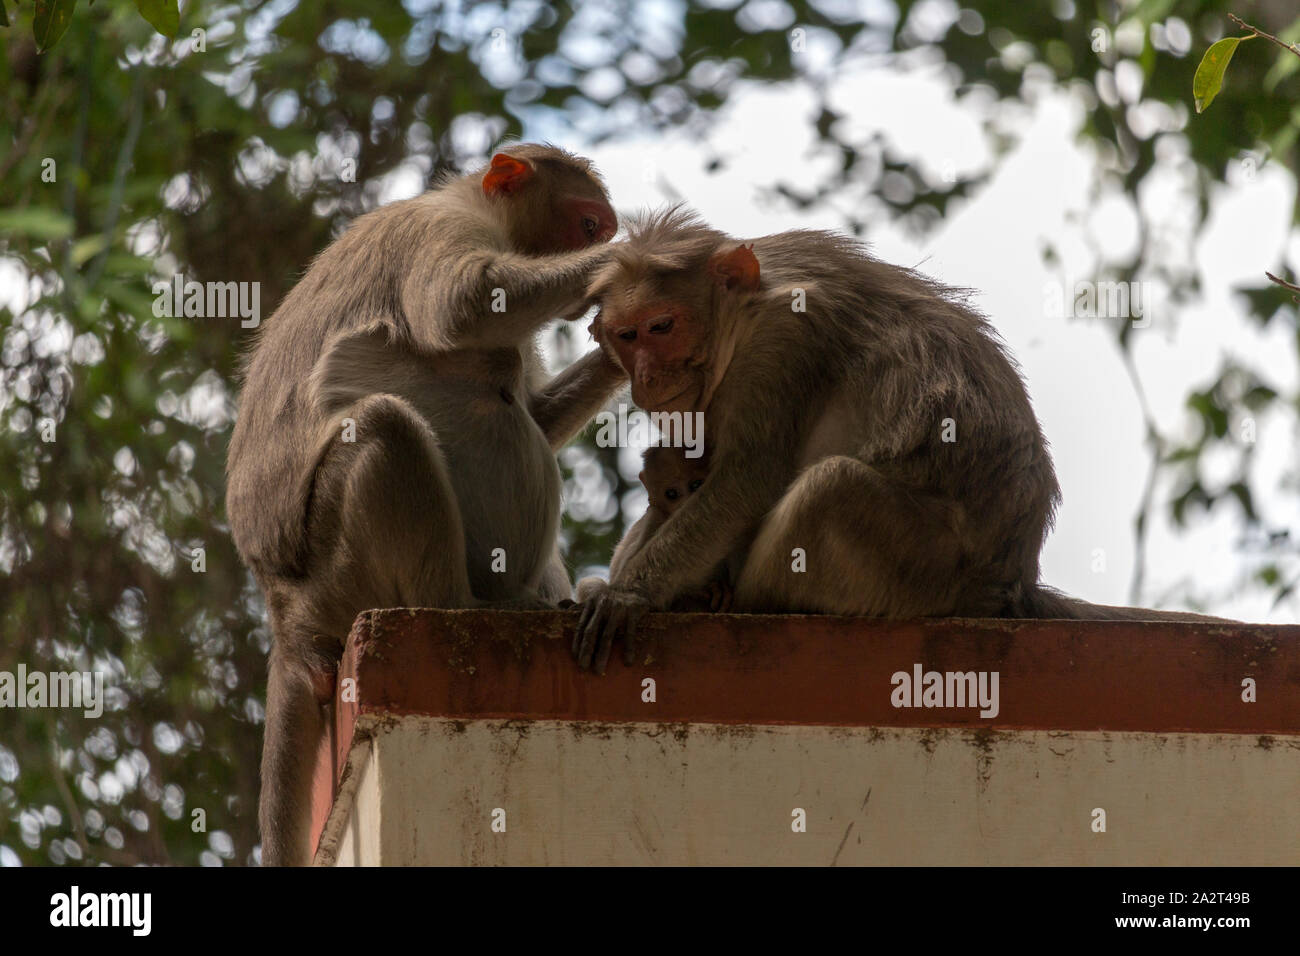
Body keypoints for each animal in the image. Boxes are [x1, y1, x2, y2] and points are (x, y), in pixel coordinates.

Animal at [226, 144, 625, 864]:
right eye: (588, 227)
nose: (600, 239)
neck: (470, 202)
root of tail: (283, 614)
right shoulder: (440, 230)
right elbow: (463, 305)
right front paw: (644, 259)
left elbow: (535, 414)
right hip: (336, 571)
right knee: (385, 428)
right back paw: (464, 607)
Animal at [572, 208, 1230, 673]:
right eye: (627, 336)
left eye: (663, 326)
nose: (647, 379)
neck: (748, 311)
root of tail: (1011, 579)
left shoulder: (782, 342)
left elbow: (746, 480)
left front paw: (630, 595)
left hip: (924, 567)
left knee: (833, 487)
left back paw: (734, 599)